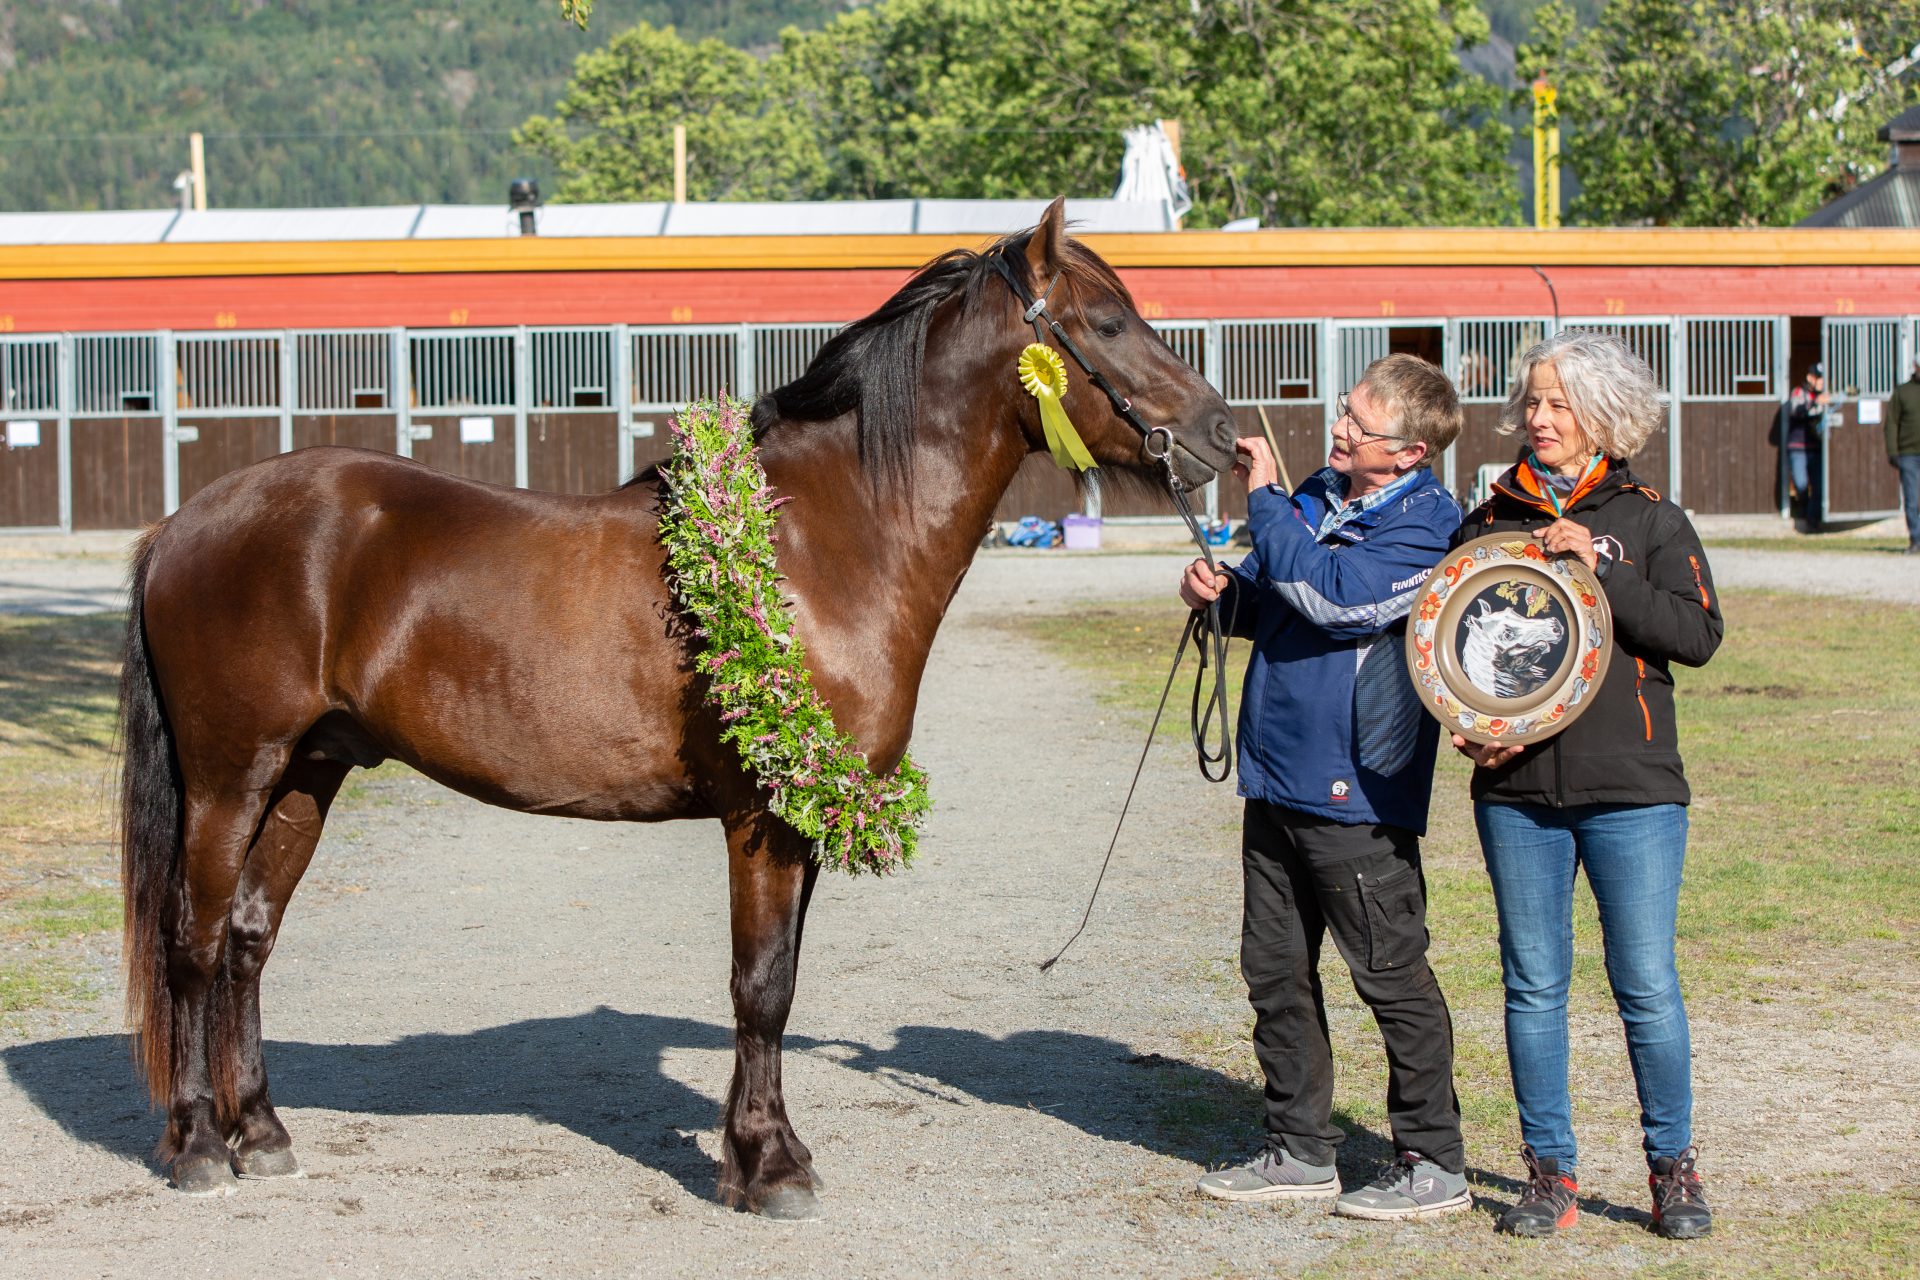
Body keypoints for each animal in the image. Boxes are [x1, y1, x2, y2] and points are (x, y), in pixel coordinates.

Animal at [120, 195, 1236, 1220]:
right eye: (1105, 322)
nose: (1223, 435)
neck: (822, 543)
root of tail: (180, 524)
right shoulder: (762, 819)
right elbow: (762, 986)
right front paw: (770, 1169)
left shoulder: (806, 814)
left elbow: (778, 980)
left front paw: (760, 1152)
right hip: (230, 778)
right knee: (194, 941)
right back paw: (200, 1149)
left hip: (308, 773)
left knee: (248, 940)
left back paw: (264, 1134)